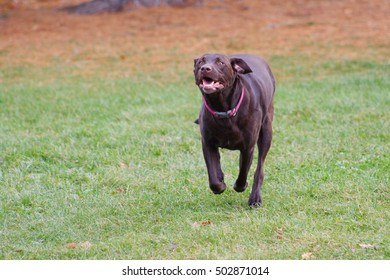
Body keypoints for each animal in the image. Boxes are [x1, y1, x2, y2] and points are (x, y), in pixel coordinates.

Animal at [193, 53, 274, 206]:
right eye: (201, 61)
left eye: (220, 63)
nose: (205, 68)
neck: (223, 108)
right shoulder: (207, 143)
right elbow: (213, 176)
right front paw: (220, 184)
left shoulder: (248, 147)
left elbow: (243, 173)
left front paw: (240, 186)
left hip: (266, 132)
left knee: (259, 168)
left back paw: (255, 198)